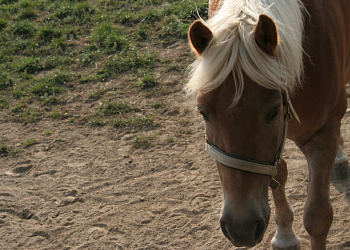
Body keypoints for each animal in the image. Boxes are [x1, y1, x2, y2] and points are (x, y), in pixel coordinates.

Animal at [186, 0, 350, 249]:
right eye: (203, 112)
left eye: (273, 111)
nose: (241, 228)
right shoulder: (275, 144)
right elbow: (279, 174)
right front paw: (285, 235)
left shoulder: (322, 135)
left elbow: (318, 217)